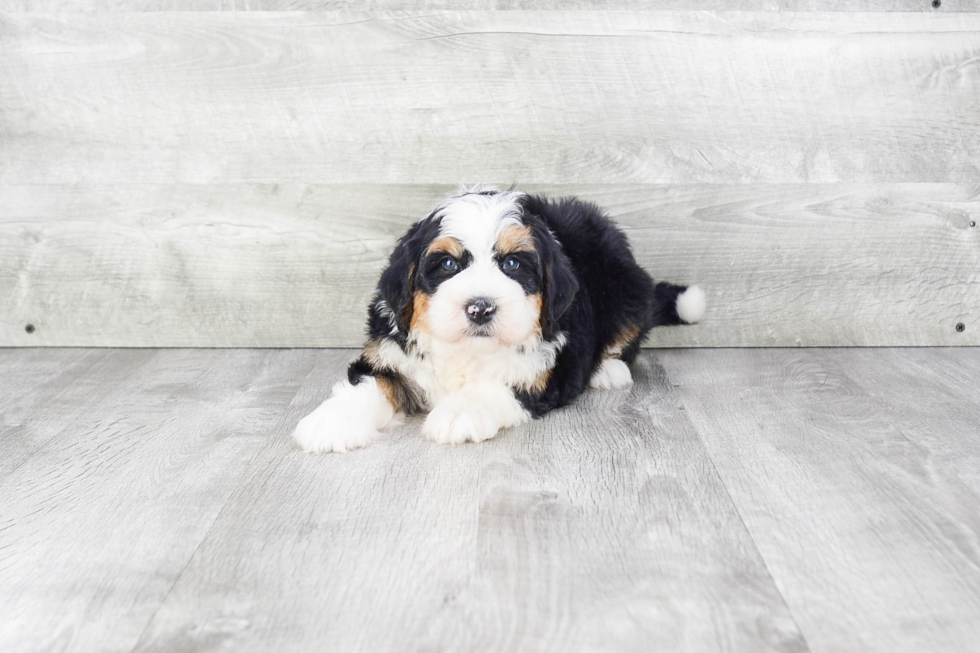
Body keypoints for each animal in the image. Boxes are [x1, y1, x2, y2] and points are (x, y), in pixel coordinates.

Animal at [292, 187, 704, 454]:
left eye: (513, 264)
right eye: (447, 264)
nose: (481, 307)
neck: (467, 350)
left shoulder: (544, 370)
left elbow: (498, 384)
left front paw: (458, 412)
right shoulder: (390, 350)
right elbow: (370, 383)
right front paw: (333, 421)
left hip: (623, 281)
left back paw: (607, 370)